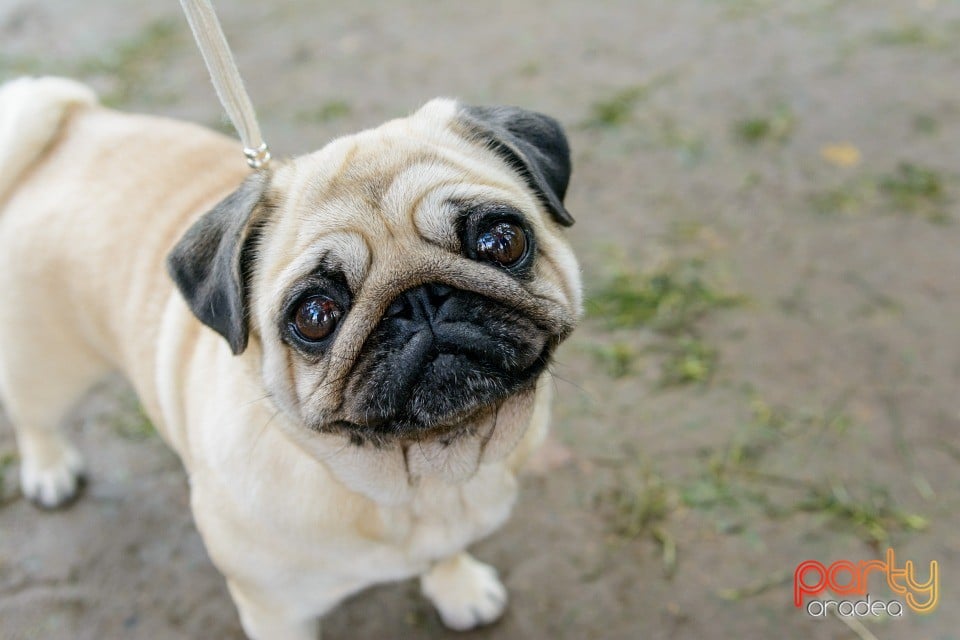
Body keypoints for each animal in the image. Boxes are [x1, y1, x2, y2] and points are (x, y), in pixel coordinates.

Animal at [0, 76, 576, 640]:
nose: (419, 300)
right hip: (43, 364)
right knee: (34, 417)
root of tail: (72, 128)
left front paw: (458, 588)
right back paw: (49, 470)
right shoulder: (275, 609)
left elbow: (447, 553)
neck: (424, 479)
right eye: (315, 315)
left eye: (501, 241)